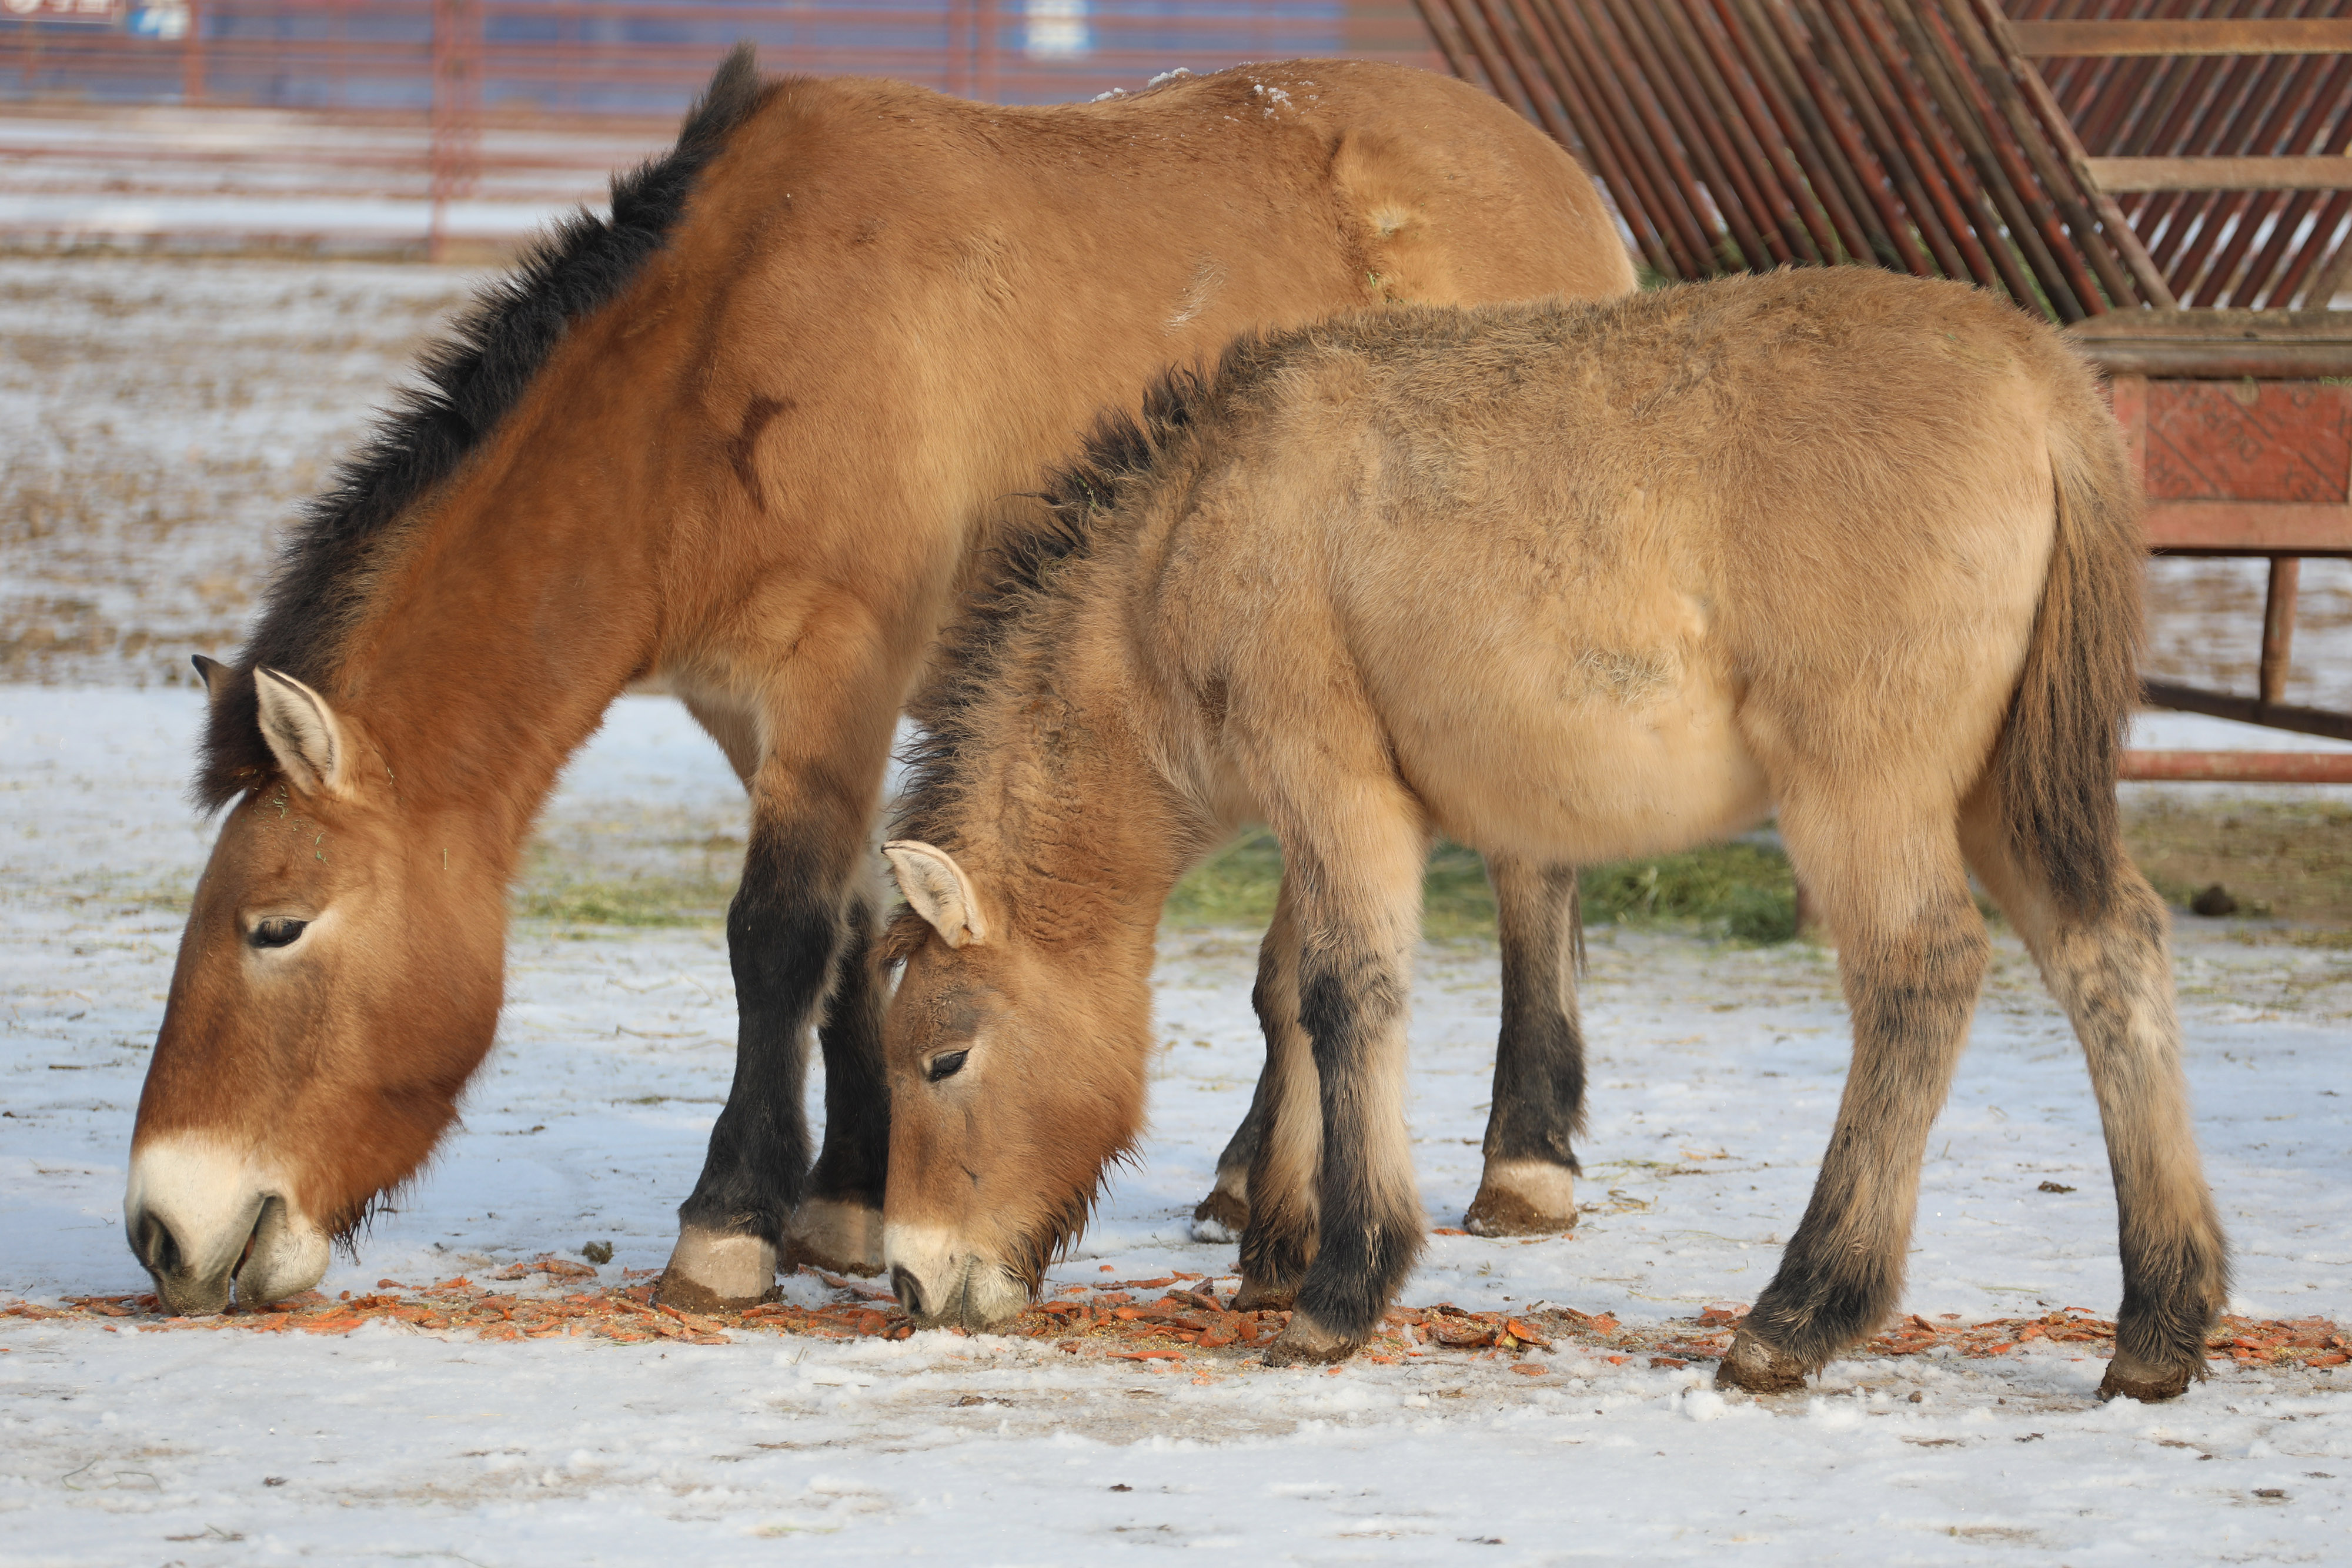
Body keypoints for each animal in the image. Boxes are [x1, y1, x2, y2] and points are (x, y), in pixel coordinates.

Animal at [124, 49, 1637, 1316]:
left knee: (1525, 873)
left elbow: (776, 932)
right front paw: (846, 1197)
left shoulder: (839, 670)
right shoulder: (743, 709)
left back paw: (1522, 1163)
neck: (725, 346)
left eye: (273, 928)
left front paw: (729, 1224)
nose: (159, 1229)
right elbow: (853, 933)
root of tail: (1567, 182)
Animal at [880, 263, 2220, 1401]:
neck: (1190, 527)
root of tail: (2043, 381)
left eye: (945, 1057)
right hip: (2005, 796)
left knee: (1918, 977)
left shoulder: (1332, 783)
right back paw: (2160, 1322)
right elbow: (1295, 994)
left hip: (1865, 795)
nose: (908, 1278)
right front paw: (1282, 1248)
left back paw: (1797, 1315)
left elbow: (1344, 995)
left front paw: (1340, 1287)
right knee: (2111, 956)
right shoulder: (1336, 814)